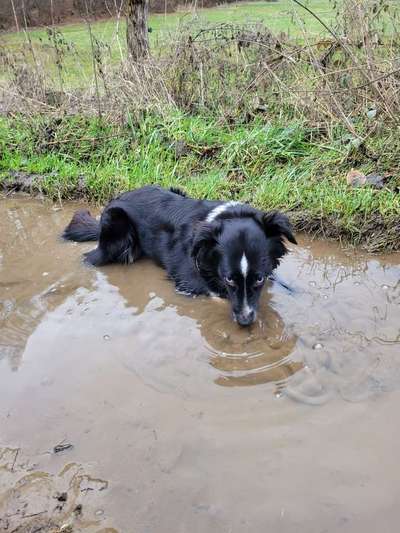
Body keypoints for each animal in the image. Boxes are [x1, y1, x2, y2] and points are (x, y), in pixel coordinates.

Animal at [63, 185, 296, 326]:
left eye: (259, 278)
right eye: (229, 279)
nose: (245, 321)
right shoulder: (187, 280)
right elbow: (214, 295)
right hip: (116, 229)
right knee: (90, 258)